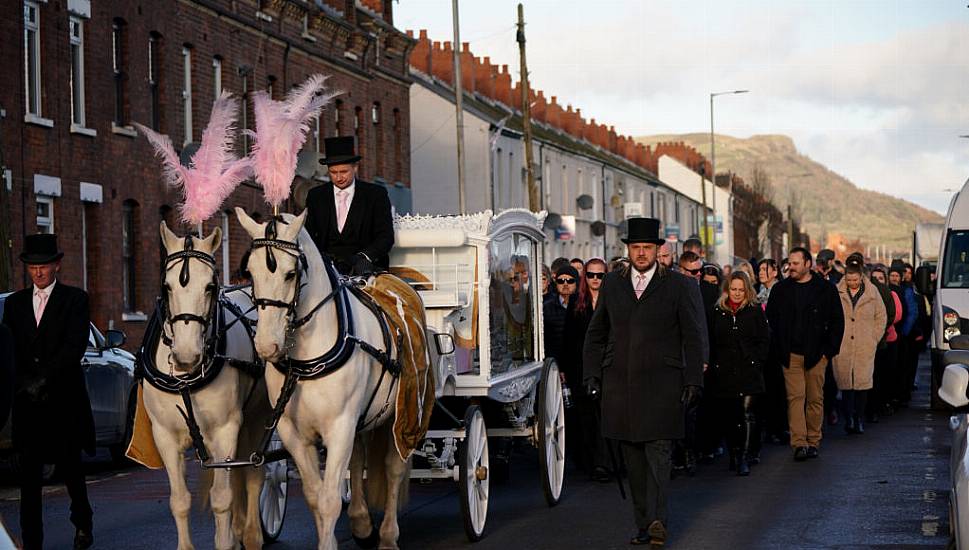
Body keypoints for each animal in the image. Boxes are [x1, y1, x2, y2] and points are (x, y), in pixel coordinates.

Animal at [145, 223, 272, 550]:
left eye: (210, 287)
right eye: (167, 287)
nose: (186, 356)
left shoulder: (225, 428)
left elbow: (221, 498)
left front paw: (226, 540)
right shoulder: (163, 434)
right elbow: (179, 500)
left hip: (258, 417)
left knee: (254, 474)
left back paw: (251, 535)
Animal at [239, 209, 412, 548]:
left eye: (290, 274)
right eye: (250, 273)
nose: (267, 346)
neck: (306, 359)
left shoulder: (341, 425)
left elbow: (330, 499)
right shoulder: (294, 433)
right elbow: (315, 496)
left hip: (400, 417)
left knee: (394, 469)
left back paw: (388, 535)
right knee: (358, 461)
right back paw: (361, 522)